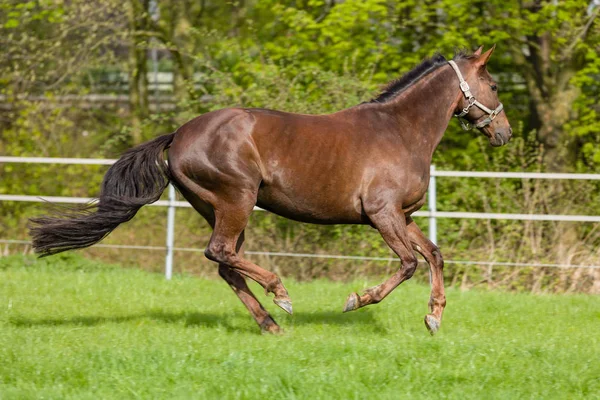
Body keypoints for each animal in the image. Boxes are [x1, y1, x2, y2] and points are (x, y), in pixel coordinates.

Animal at [30, 46, 510, 334]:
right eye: (494, 85)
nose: (503, 133)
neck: (400, 130)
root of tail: (179, 134)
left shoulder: (403, 216)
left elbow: (434, 255)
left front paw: (433, 317)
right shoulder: (382, 214)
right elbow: (409, 263)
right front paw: (356, 300)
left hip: (218, 208)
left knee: (225, 263)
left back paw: (270, 323)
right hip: (237, 200)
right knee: (221, 253)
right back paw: (281, 296)